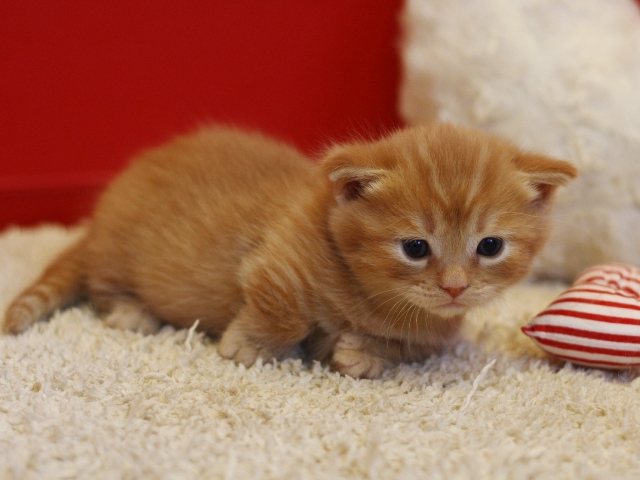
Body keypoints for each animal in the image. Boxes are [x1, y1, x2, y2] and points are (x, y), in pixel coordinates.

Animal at [2, 124, 576, 378]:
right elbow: (284, 314)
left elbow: (417, 346)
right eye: (416, 248)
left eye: (490, 246)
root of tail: (102, 215)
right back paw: (131, 311)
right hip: (121, 250)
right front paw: (247, 346)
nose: (455, 287)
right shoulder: (273, 266)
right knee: (102, 284)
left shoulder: (440, 331)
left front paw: (362, 352)